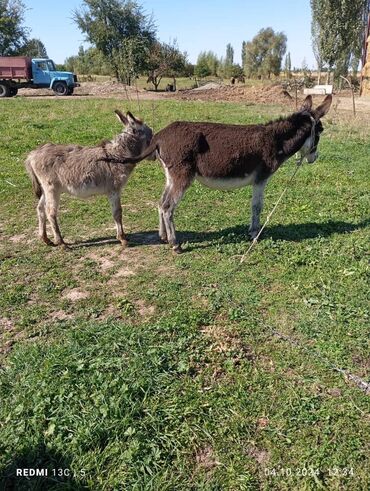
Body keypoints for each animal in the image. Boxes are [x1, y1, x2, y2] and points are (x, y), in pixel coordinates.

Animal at [26, 112, 152, 250]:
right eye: (150, 135)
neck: (118, 154)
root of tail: (32, 154)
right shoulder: (114, 190)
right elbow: (117, 213)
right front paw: (122, 239)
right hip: (52, 188)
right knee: (51, 212)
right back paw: (61, 243)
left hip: (46, 188)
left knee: (40, 209)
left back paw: (45, 239)